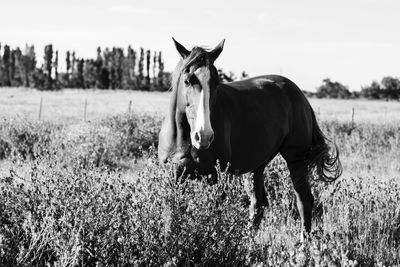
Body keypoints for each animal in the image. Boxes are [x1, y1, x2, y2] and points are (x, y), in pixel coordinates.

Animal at [158, 38, 342, 237]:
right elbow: (170, 216)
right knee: (258, 204)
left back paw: (302, 244)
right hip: (257, 166)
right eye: (187, 80)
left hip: (296, 159)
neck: (182, 139)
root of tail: (300, 95)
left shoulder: (216, 177)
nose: (204, 136)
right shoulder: (173, 177)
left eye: (216, 83)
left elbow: (214, 215)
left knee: (303, 201)